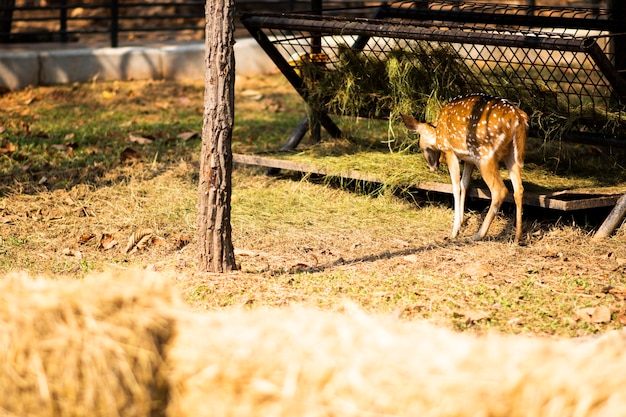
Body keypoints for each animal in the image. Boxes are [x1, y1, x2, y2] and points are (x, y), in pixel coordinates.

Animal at [400, 93, 528, 240]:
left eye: (420, 143)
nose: (432, 166)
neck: (438, 133)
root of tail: (518, 118)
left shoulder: (450, 151)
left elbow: (456, 187)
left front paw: (454, 231)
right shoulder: (468, 159)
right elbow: (464, 184)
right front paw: (461, 222)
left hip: (485, 155)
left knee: (500, 190)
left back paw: (478, 235)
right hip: (512, 154)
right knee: (519, 189)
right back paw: (517, 236)